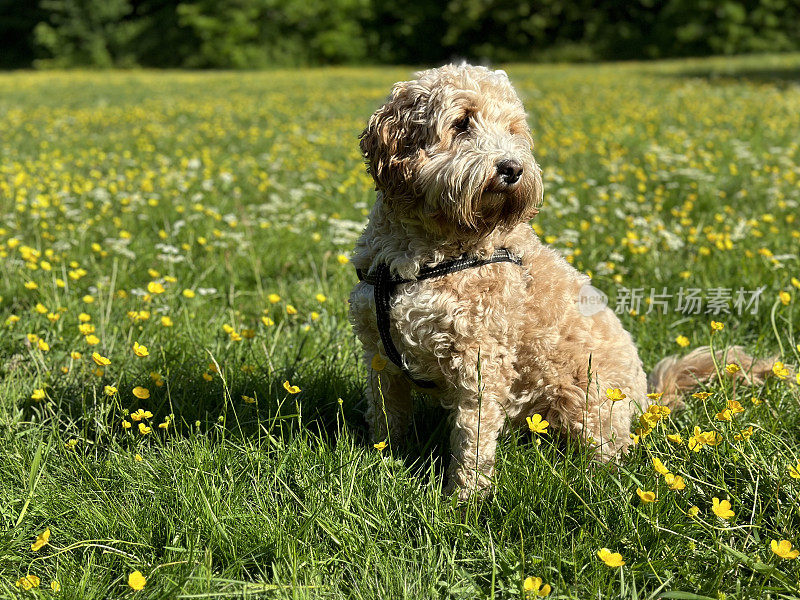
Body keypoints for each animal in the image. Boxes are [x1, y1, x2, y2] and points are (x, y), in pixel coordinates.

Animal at [348, 63, 776, 500]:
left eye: (513, 129)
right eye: (462, 122)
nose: (512, 168)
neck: (434, 251)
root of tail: (646, 399)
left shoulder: (481, 362)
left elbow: (473, 438)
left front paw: (463, 500)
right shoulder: (379, 353)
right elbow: (387, 415)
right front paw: (381, 459)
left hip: (590, 400)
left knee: (609, 452)